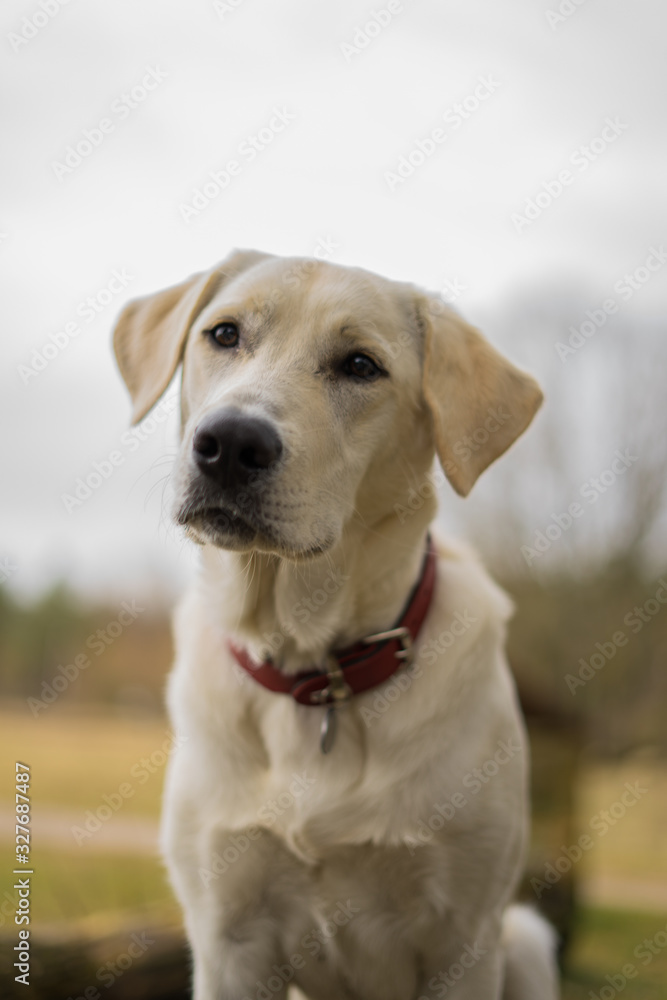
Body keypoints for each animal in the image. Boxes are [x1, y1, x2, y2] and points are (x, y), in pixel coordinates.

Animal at [113, 250, 560, 1000]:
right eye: (224, 334)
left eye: (359, 366)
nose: (229, 442)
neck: (313, 664)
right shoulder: (227, 938)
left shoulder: (462, 942)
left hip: (521, 940)